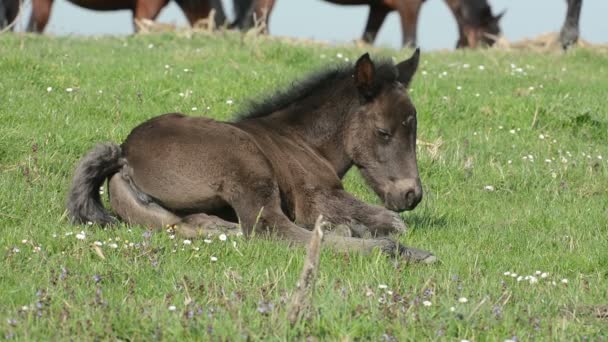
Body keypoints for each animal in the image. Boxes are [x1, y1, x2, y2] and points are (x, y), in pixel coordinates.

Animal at [67, 49, 436, 264]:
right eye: (383, 132)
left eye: (414, 129)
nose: (411, 194)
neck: (302, 140)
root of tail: (125, 153)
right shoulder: (315, 198)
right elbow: (394, 222)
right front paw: (376, 232)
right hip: (246, 162)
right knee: (269, 229)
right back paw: (397, 250)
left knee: (199, 225)